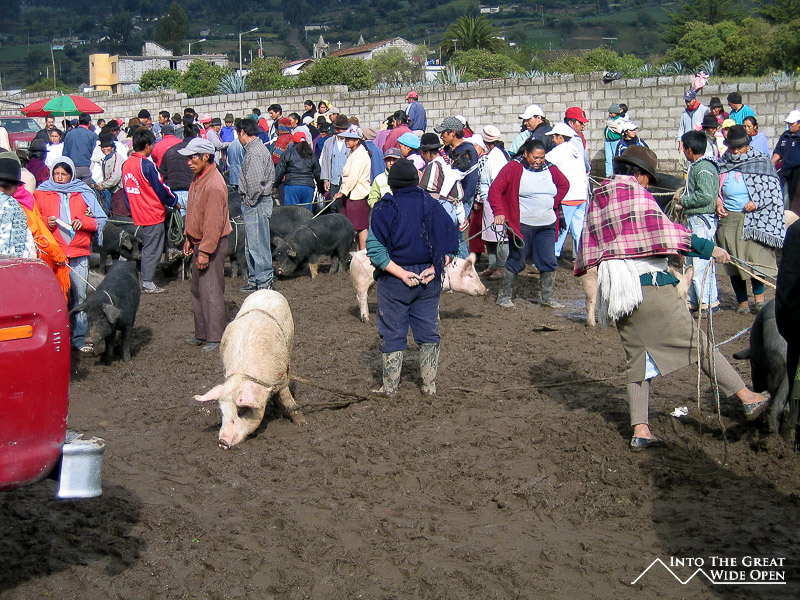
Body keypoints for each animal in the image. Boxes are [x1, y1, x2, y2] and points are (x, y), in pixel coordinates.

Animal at [194, 290, 307, 449]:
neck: (243, 374)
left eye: (241, 411)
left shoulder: (281, 376)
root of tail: (266, 290)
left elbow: (287, 399)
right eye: (222, 412)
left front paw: (302, 424)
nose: (222, 442)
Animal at [349, 249, 487, 323]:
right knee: (362, 298)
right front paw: (437, 320)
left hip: (369, 284)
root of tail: (355, 255)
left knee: (361, 298)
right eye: (471, 275)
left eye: (476, 274)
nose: (486, 290)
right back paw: (366, 319)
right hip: (361, 282)